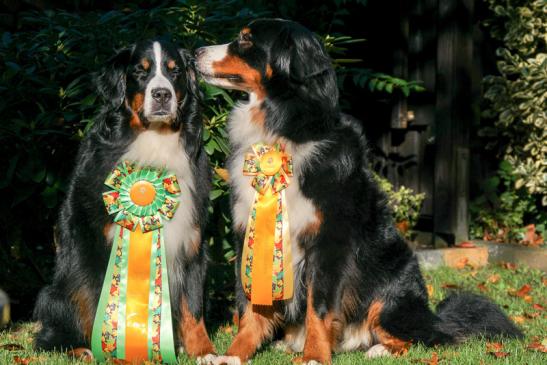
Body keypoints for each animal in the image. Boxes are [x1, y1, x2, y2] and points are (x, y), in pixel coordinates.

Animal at [33, 38, 217, 360]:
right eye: (140, 71)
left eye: (175, 71)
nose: (162, 94)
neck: (155, 141)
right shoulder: (98, 245)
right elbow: (101, 301)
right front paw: (114, 351)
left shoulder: (193, 241)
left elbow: (194, 305)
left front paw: (203, 351)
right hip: (57, 292)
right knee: (50, 334)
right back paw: (80, 349)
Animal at [196, 19, 524, 364]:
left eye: (246, 40)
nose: (195, 52)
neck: (286, 129)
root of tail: (434, 316)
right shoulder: (249, 232)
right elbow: (249, 305)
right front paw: (234, 353)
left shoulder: (329, 242)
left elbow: (319, 307)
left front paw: (314, 355)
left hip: (392, 289)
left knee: (422, 337)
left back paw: (379, 347)